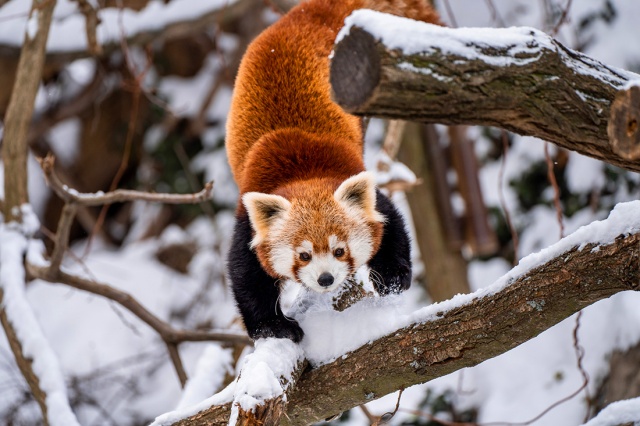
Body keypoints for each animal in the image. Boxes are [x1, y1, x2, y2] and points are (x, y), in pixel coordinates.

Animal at [225, 0, 440, 342]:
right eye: (303, 255)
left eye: (340, 251)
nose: (325, 279)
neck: (303, 174)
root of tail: (301, 18)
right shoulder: (249, 219)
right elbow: (246, 276)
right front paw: (275, 326)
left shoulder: (353, 177)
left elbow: (391, 221)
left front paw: (393, 276)